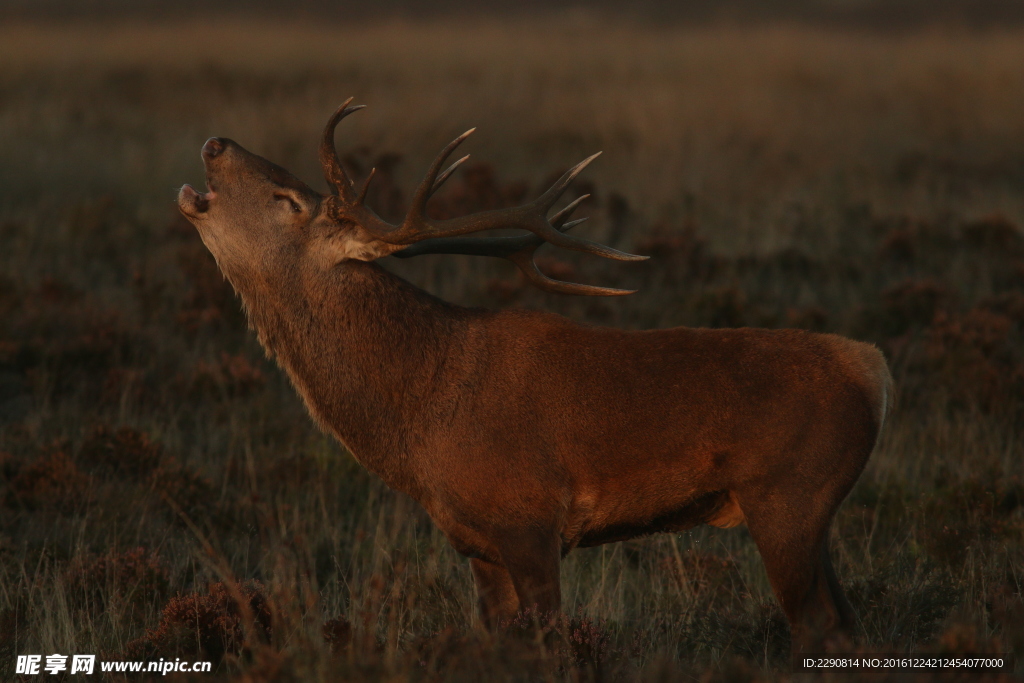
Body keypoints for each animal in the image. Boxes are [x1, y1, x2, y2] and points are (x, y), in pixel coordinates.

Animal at [177, 99, 892, 653]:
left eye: (289, 201)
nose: (214, 142)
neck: (421, 415)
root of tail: (872, 367)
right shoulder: (475, 543)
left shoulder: (530, 518)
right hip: (813, 512)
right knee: (848, 624)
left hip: (789, 496)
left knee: (821, 626)